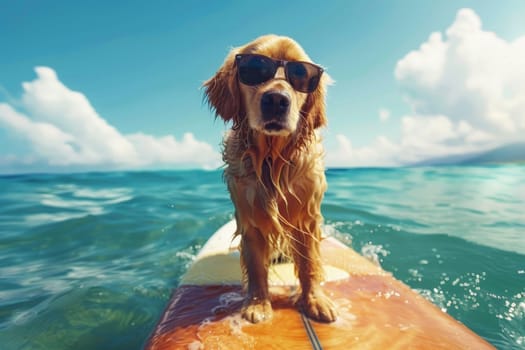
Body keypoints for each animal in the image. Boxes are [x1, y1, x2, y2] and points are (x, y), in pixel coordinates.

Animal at [203, 34, 334, 322]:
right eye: (255, 68)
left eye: (301, 74)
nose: (276, 100)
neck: (272, 161)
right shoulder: (250, 217)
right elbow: (255, 266)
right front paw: (257, 304)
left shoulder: (306, 218)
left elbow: (309, 262)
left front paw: (315, 300)